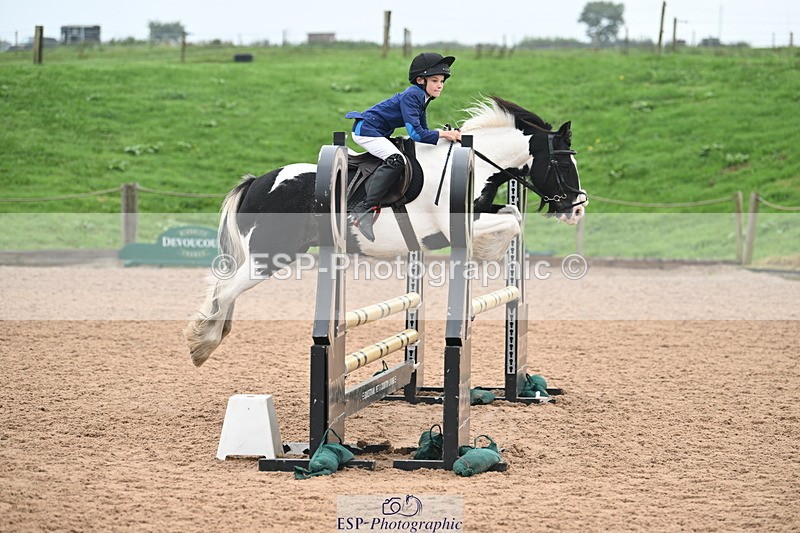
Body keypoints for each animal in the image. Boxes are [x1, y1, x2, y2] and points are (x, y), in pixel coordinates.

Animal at [185, 95, 587, 366]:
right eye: (564, 165)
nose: (577, 207)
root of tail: (257, 183)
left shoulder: (480, 211)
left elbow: (512, 215)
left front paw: (489, 252)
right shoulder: (457, 223)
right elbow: (512, 220)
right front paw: (485, 252)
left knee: (224, 287)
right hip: (270, 256)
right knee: (225, 289)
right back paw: (202, 342)